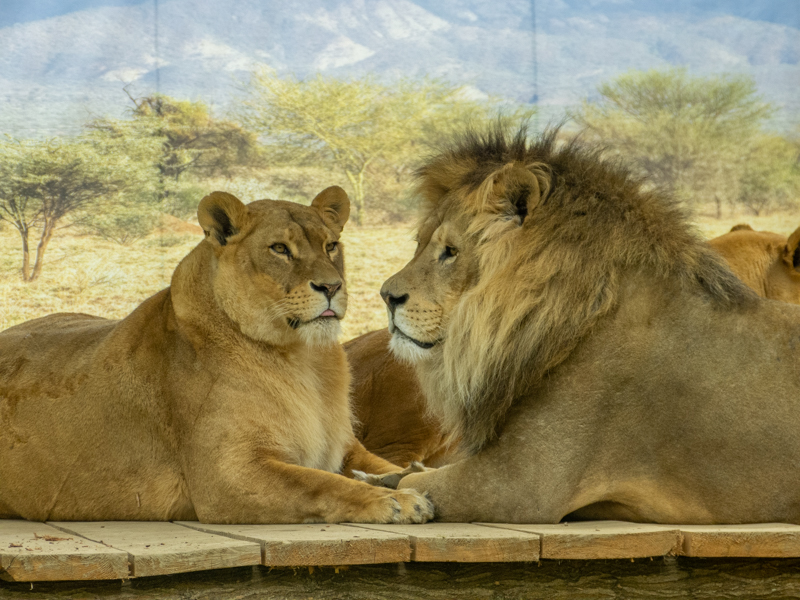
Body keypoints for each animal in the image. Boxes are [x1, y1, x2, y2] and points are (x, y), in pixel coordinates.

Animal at [0, 187, 433, 524]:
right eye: (280, 249)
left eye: (331, 246)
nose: (332, 286)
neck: (305, 359)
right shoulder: (226, 477)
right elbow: (321, 483)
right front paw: (395, 500)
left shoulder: (348, 449)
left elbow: (391, 468)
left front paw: (410, 479)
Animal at [379, 127, 800, 524]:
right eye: (420, 244)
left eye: (450, 252)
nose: (386, 296)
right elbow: (403, 475)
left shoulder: (517, 485)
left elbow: (414, 480)